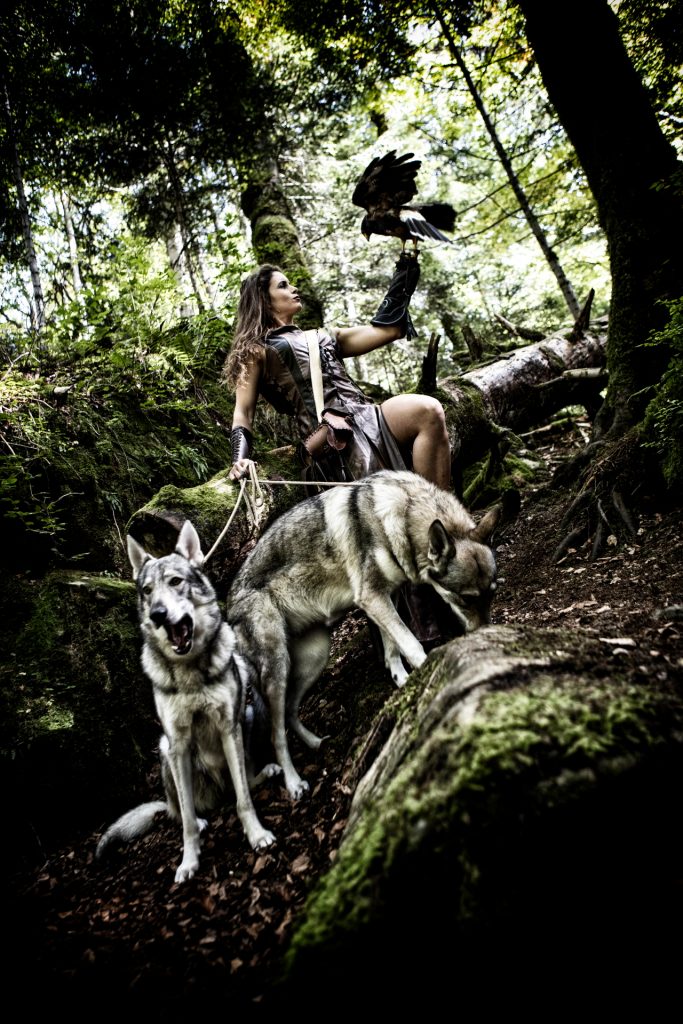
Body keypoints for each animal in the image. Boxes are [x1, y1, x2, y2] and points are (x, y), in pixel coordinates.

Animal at [96, 520, 281, 883]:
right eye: (147, 590)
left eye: (175, 582)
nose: (158, 614)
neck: (191, 673)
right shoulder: (178, 742)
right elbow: (186, 829)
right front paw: (189, 862)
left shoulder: (229, 728)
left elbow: (244, 800)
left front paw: (256, 835)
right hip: (165, 748)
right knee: (179, 812)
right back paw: (197, 817)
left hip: (248, 717)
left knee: (241, 784)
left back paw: (264, 773)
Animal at [225, 469, 512, 801]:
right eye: (466, 599)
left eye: (492, 594)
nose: (486, 634)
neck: (401, 516)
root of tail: (227, 605)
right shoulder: (373, 598)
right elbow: (410, 644)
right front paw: (426, 671)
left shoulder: (387, 597)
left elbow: (393, 648)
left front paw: (402, 680)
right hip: (278, 668)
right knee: (276, 734)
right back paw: (294, 782)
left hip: (314, 658)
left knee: (288, 714)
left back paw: (314, 743)